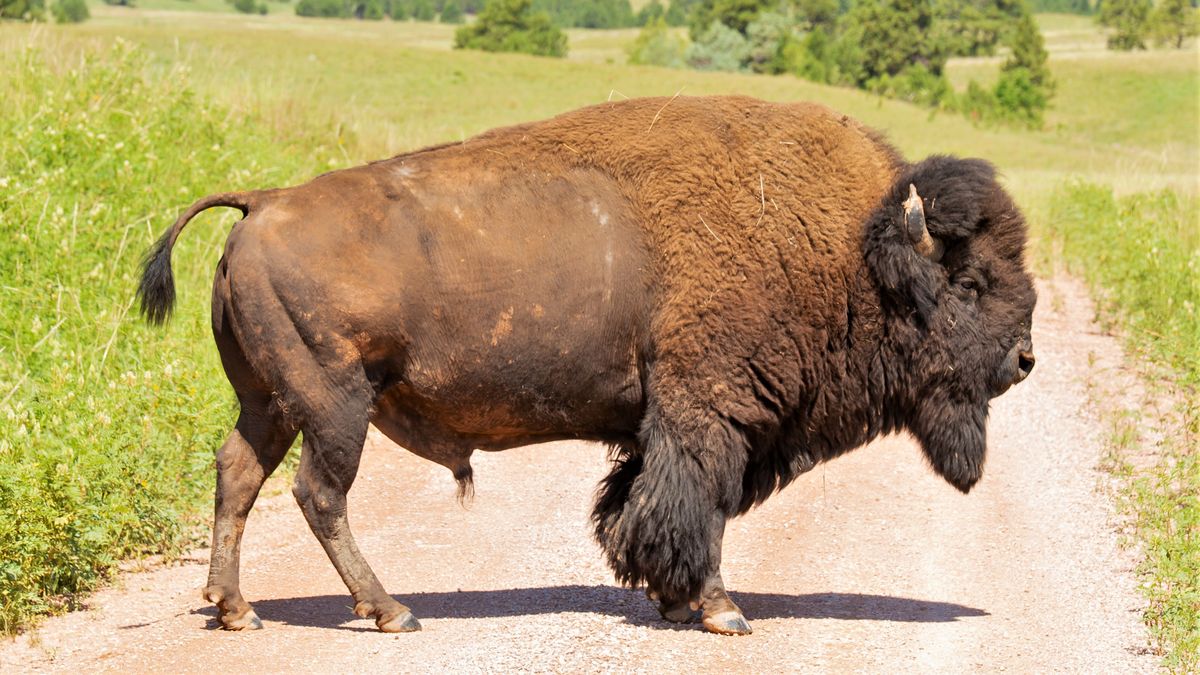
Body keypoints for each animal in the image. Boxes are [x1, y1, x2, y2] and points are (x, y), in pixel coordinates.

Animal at [140, 94, 1036, 629]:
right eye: (971, 280)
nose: (1025, 358)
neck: (851, 249)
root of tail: (262, 203)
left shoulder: (660, 426)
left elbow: (639, 506)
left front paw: (674, 601)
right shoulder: (708, 414)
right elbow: (695, 505)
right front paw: (719, 610)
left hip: (271, 404)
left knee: (237, 476)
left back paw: (235, 608)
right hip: (334, 405)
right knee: (318, 494)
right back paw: (390, 609)